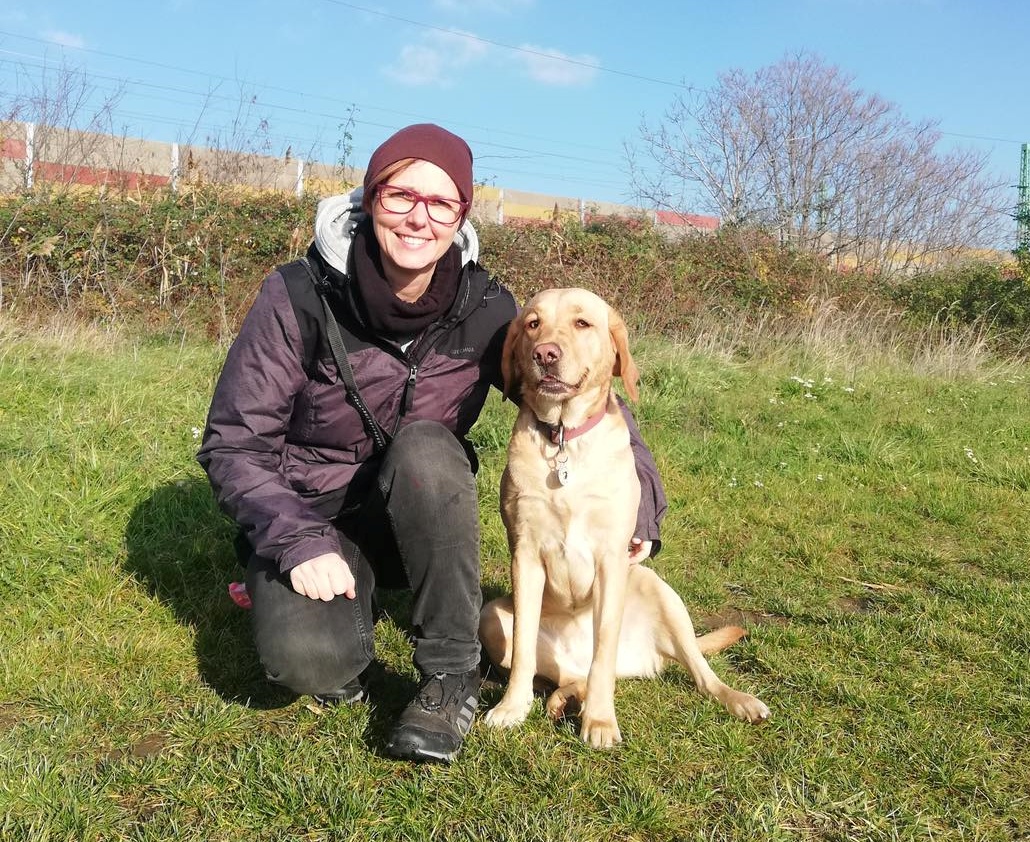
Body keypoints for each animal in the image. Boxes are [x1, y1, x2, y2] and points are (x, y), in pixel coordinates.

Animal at [479, 288, 770, 748]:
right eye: (532, 324)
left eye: (582, 323)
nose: (545, 353)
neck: (564, 439)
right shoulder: (524, 554)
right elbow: (524, 648)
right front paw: (511, 708)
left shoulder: (612, 559)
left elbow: (603, 651)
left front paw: (599, 721)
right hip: (491, 619)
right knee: (573, 673)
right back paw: (561, 699)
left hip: (659, 590)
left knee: (697, 671)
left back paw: (738, 700)